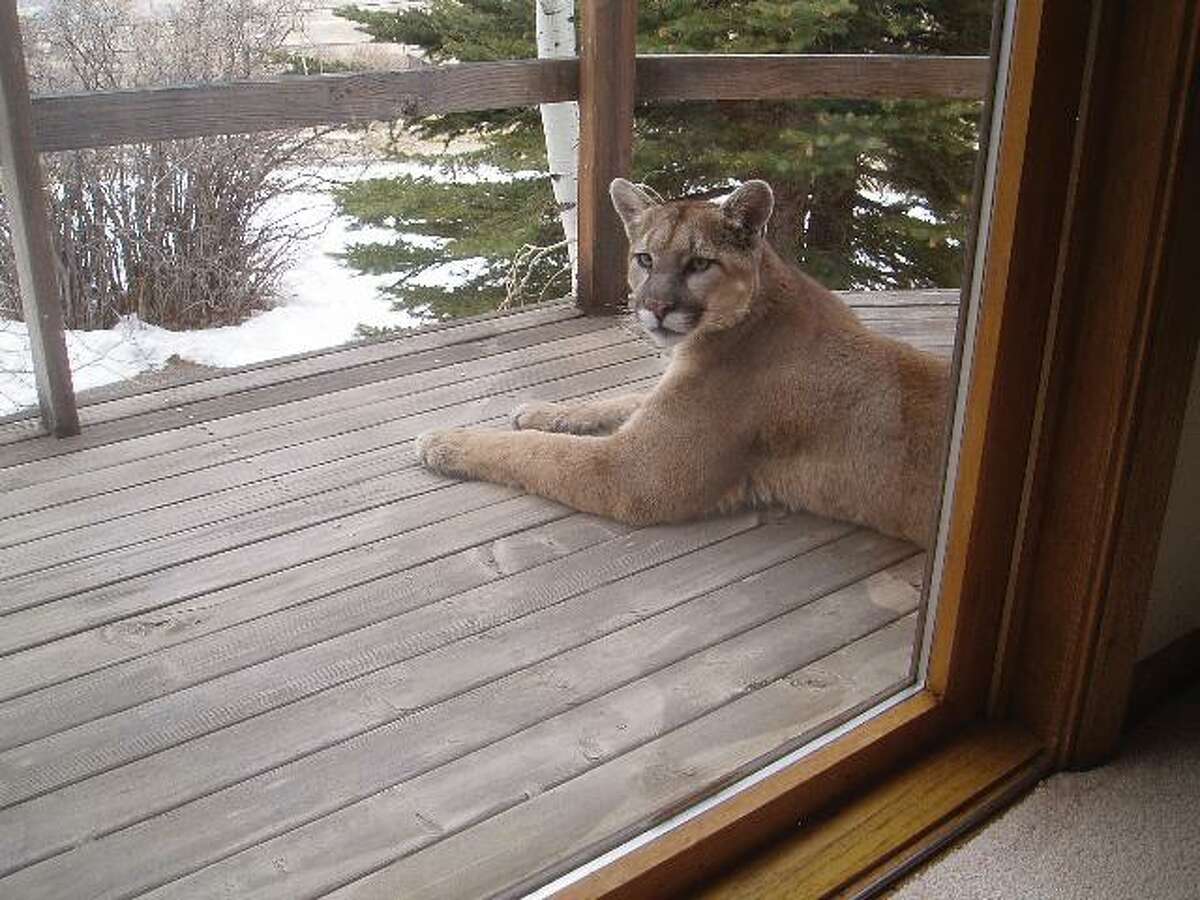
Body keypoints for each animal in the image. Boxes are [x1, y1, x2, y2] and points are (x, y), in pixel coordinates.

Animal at [416, 178, 951, 547]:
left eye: (699, 264)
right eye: (645, 259)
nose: (654, 307)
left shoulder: (635, 471)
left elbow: (536, 451)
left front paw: (444, 441)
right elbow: (618, 399)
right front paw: (541, 410)